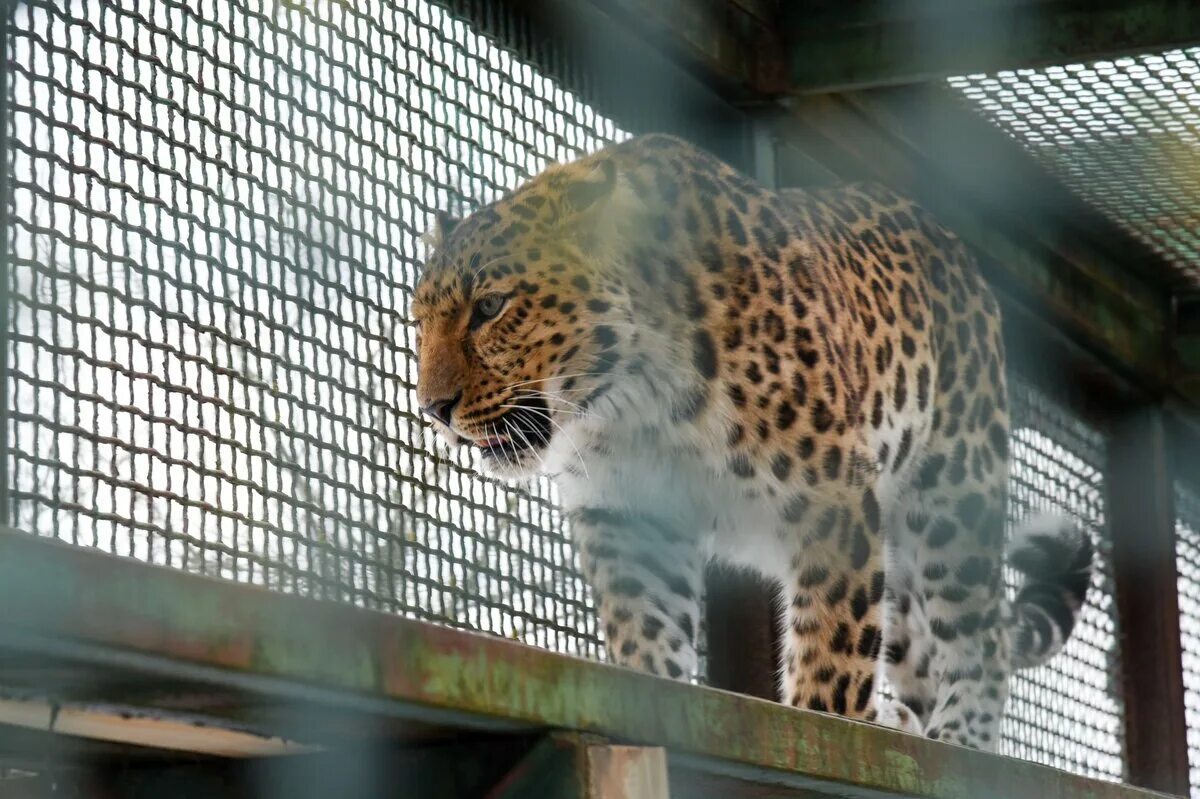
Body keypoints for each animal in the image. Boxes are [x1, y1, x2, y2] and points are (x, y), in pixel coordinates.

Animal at [412, 131, 1099, 748]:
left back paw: (961, 737)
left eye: (491, 307)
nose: (433, 409)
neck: (633, 402)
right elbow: (645, 630)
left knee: (979, 636)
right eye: (419, 323)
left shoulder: (835, 499)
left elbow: (833, 653)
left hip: (957, 494)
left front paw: (828, 723)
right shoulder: (629, 519)